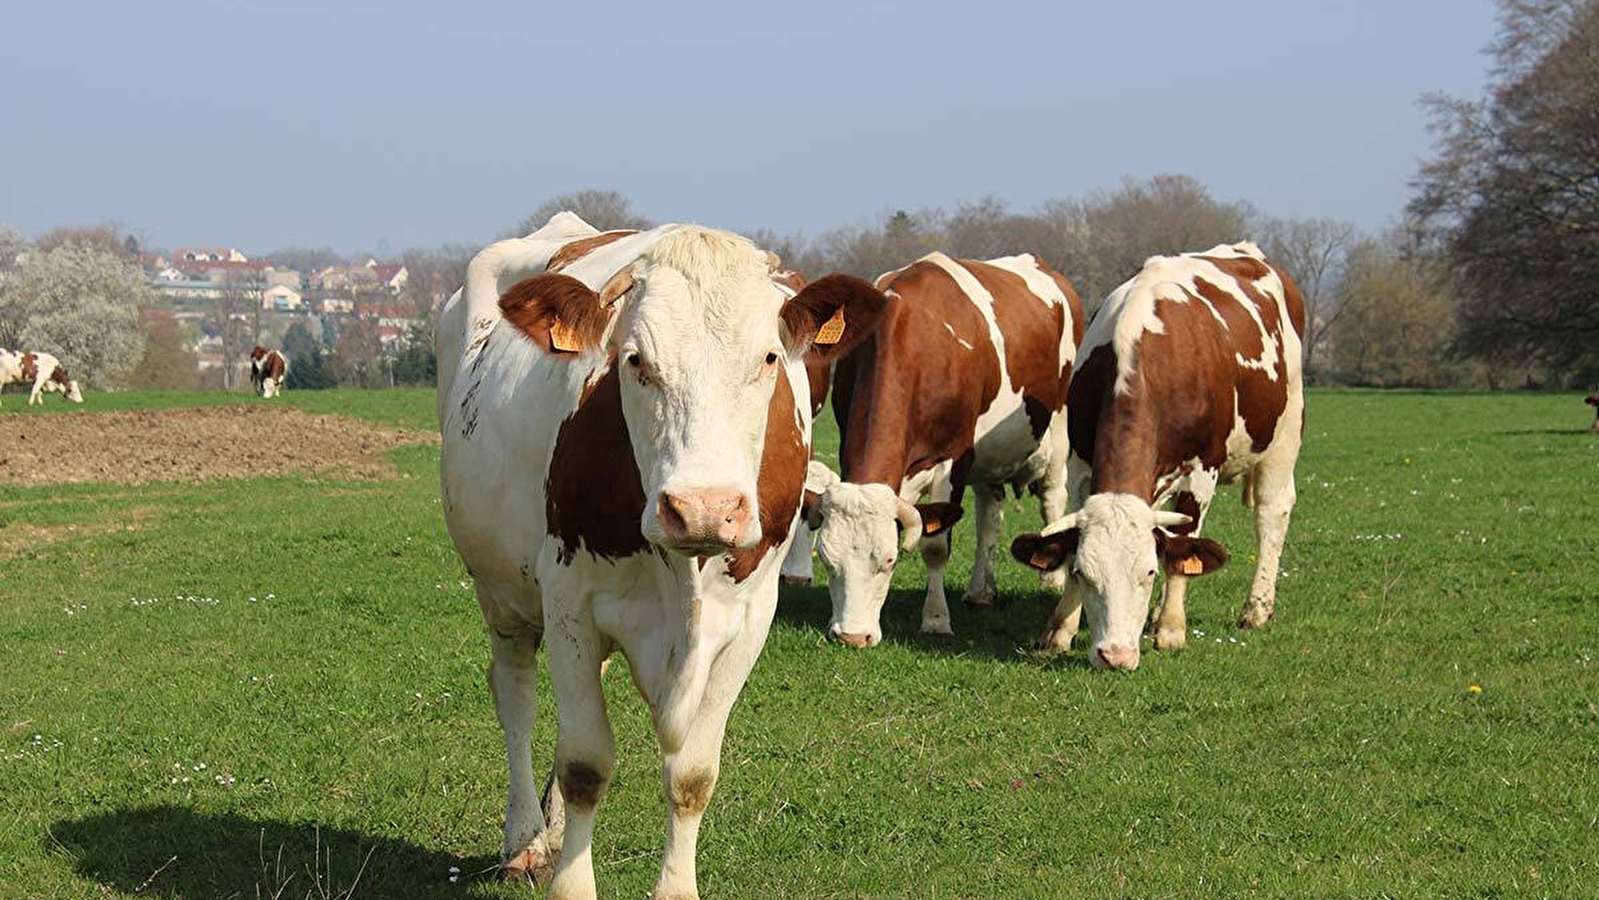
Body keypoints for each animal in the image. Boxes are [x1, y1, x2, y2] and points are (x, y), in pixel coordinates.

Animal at [438, 212, 889, 900]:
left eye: (769, 357)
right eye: (635, 361)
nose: (703, 508)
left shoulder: (751, 618)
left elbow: (692, 774)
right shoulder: (569, 602)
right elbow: (585, 763)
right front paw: (571, 882)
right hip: (502, 593)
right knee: (515, 696)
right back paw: (525, 840)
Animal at [799, 254, 1087, 649]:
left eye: (889, 561)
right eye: (828, 561)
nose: (853, 637)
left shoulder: (954, 457)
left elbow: (935, 546)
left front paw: (936, 620)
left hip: (1058, 434)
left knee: (1052, 499)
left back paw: (1051, 580)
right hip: (990, 452)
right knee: (989, 515)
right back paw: (981, 591)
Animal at [1016, 242, 1304, 671]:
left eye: (1149, 573)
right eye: (1084, 573)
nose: (1114, 655)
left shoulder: (1202, 469)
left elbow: (1185, 540)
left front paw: (1170, 628)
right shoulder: (1081, 466)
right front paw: (1060, 628)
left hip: (1285, 431)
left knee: (1271, 513)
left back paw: (1256, 608)